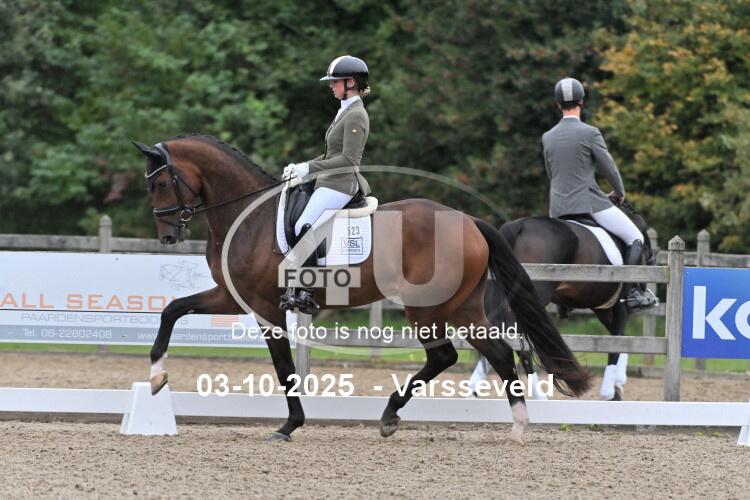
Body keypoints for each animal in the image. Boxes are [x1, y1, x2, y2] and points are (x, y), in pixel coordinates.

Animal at [133, 134, 591, 443]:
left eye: (160, 184)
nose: (167, 236)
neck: (248, 215)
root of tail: (469, 221)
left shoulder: (264, 305)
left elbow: (283, 368)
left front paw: (288, 426)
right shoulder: (233, 297)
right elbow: (172, 309)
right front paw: (156, 378)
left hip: (426, 308)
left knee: (445, 355)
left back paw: (391, 415)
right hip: (463, 307)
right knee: (497, 351)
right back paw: (518, 426)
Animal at [482, 201, 655, 400]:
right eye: (647, 248)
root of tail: (519, 226)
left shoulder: (603, 309)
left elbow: (619, 339)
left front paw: (618, 384)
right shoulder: (621, 305)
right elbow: (617, 340)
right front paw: (610, 391)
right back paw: (540, 396)